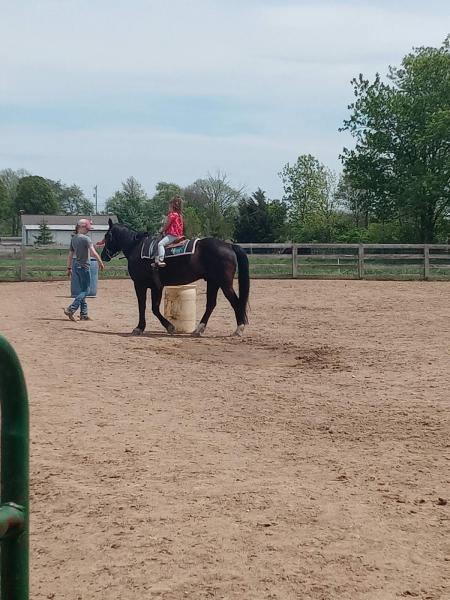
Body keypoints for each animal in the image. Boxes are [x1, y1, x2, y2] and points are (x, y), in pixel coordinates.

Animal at [101, 219, 250, 336]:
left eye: (107, 236)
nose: (103, 255)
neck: (136, 248)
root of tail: (229, 245)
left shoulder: (141, 284)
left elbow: (144, 306)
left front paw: (141, 328)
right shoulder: (156, 286)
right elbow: (154, 308)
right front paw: (169, 327)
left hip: (225, 284)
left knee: (235, 302)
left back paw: (239, 329)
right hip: (213, 282)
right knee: (211, 304)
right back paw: (199, 329)